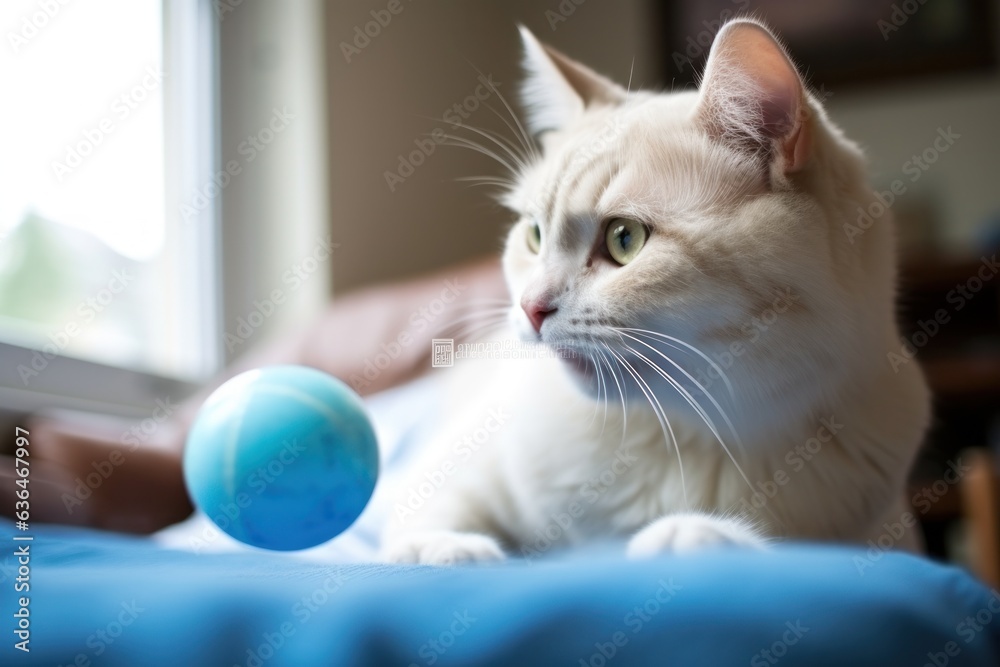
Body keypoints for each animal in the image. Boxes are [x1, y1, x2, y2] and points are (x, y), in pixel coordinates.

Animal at [380, 19, 928, 564]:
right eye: (534, 235)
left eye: (625, 239)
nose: (530, 307)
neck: (686, 436)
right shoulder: (449, 473)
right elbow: (432, 510)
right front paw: (441, 549)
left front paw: (696, 535)